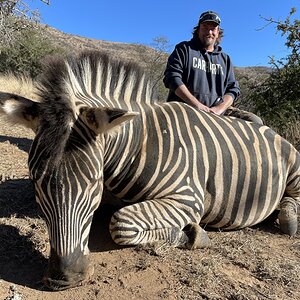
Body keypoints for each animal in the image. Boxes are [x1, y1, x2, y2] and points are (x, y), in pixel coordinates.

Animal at [0, 51, 298, 290]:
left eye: (93, 183)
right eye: (36, 183)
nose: (65, 279)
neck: (138, 143)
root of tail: (270, 129)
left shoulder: (188, 198)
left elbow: (120, 223)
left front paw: (191, 234)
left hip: (294, 162)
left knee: (292, 200)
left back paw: (288, 219)